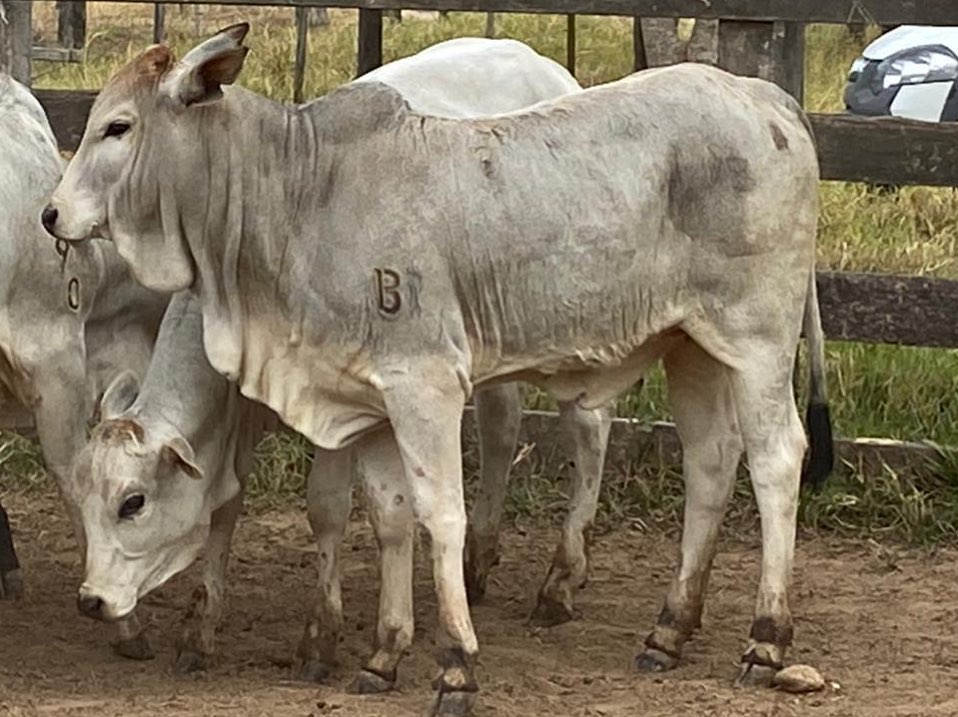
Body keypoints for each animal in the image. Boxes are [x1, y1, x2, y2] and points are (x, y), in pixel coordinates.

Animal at [47, 25, 832, 712]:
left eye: (117, 127)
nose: (52, 214)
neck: (299, 196)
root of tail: (764, 96)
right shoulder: (362, 399)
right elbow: (389, 514)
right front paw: (382, 653)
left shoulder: (421, 386)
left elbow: (436, 515)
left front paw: (452, 664)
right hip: (691, 345)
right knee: (710, 463)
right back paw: (668, 630)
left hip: (759, 340)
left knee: (773, 458)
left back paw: (763, 638)